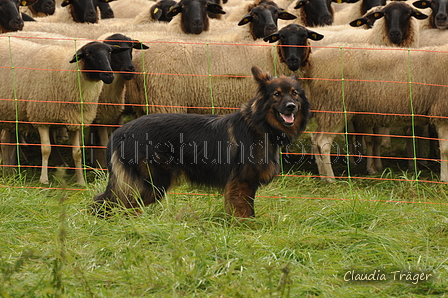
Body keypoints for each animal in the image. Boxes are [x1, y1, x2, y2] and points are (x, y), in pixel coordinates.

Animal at [0, 37, 124, 185]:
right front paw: (44, 180)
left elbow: (77, 153)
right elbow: (46, 149)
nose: (109, 75)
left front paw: (81, 181)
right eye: (88, 54)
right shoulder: (41, 117)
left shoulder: (75, 120)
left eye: (109, 52)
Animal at [93, 66, 310, 218]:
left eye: (294, 93)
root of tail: (121, 132)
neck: (260, 124)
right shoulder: (241, 182)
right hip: (152, 182)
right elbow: (244, 212)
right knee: (123, 205)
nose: (291, 106)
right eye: (277, 94)